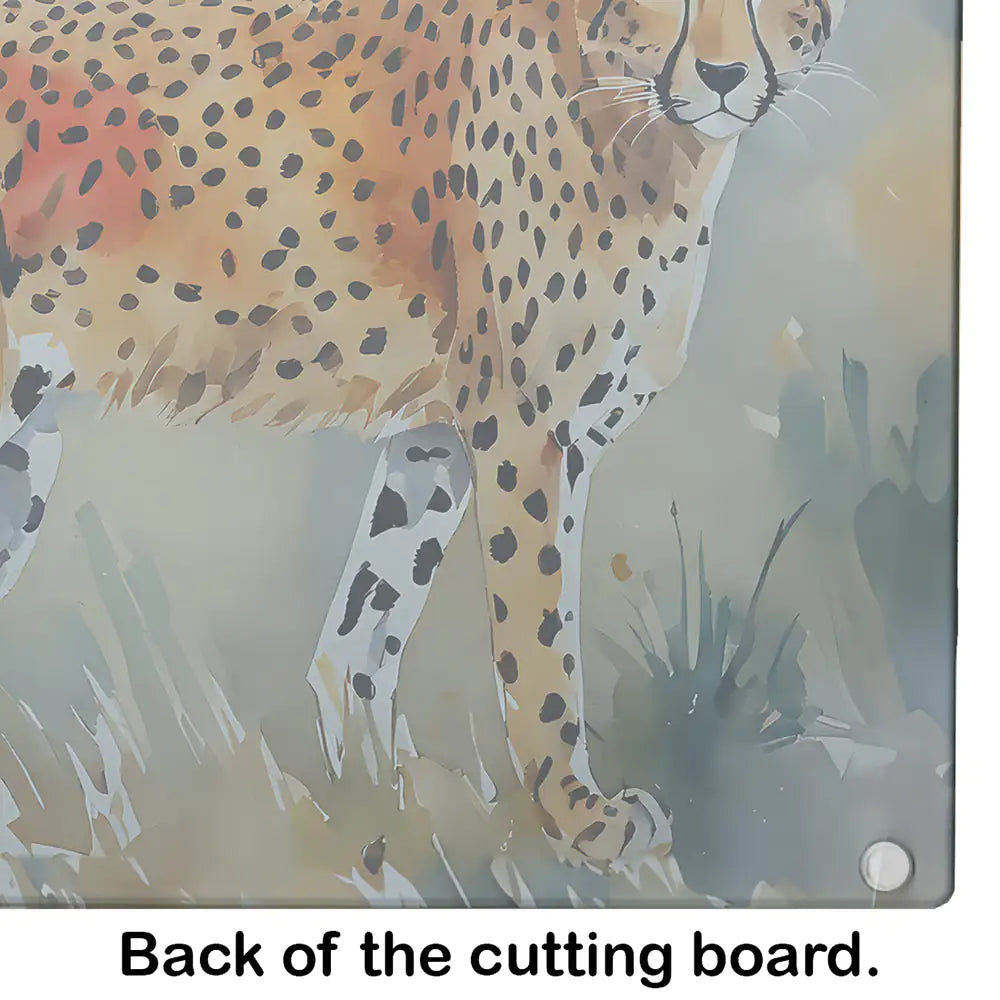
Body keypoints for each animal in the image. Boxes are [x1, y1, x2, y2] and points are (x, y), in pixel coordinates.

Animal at [0, 0, 849, 873]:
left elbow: (364, 635)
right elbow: (540, 649)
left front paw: (385, 809)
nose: (723, 76)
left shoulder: (435, 439)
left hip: (26, 450)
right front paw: (577, 819)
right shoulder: (526, 434)